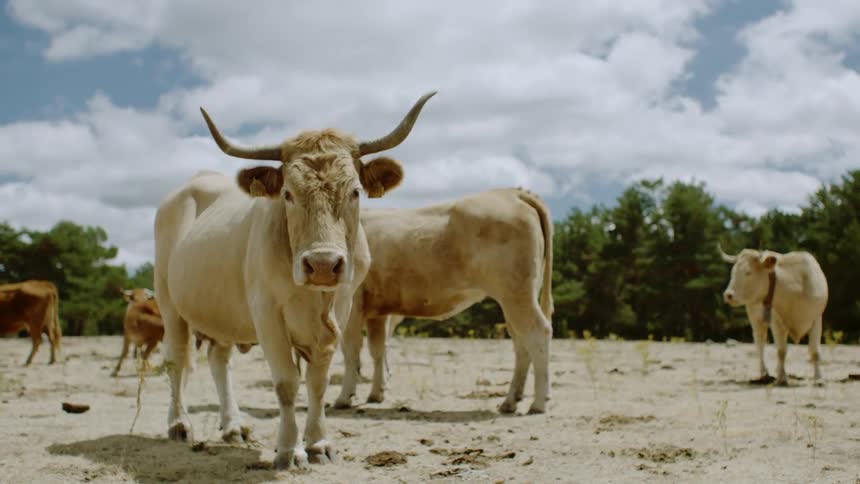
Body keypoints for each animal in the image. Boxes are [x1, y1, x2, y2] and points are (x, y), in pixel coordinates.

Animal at [153, 91, 435, 470]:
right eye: (288, 193)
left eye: (355, 192)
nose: (323, 264)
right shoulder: (267, 313)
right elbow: (287, 383)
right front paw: (289, 450)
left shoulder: (340, 312)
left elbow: (317, 383)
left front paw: (318, 443)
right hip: (169, 305)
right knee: (177, 360)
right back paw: (179, 424)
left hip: (221, 310)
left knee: (219, 361)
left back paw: (232, 426)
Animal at [334, 188, 554, 414]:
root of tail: (511, 192)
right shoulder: (377, 311)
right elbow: (377, 350)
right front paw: (376, 394)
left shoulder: (352, 303)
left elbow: (350, 350)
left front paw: (344, 397)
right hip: (516, 297)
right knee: (521, 341)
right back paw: (510, 401)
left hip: (517, 295)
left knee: (538, 333)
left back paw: (538, 402)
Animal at [719, 244, 828, 385]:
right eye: (733, 272)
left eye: (748, 272)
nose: (728, 295)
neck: (797, 287)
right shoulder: (777, 321)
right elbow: (781, 351)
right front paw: (781, 378)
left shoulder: (816, 318)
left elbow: (815, 351)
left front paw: (818, 378)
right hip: (755, 318)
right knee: (760, 343)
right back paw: (764, 373)